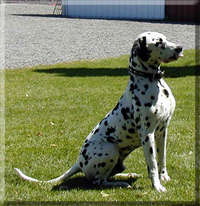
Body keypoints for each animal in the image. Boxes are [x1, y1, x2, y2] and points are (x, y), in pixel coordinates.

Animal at [15, 31, 183, 192]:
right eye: (158, 42)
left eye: (165, 38)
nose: (180, 48)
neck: (154, 82)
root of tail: (78, 162)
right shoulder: (147, 134)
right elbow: (152, 165)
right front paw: (157, 186)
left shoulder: (162, 131)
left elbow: (161, 158)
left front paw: (164, 176)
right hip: (111, 149)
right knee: (98, 181)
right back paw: (121, 184)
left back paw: (128, 175)